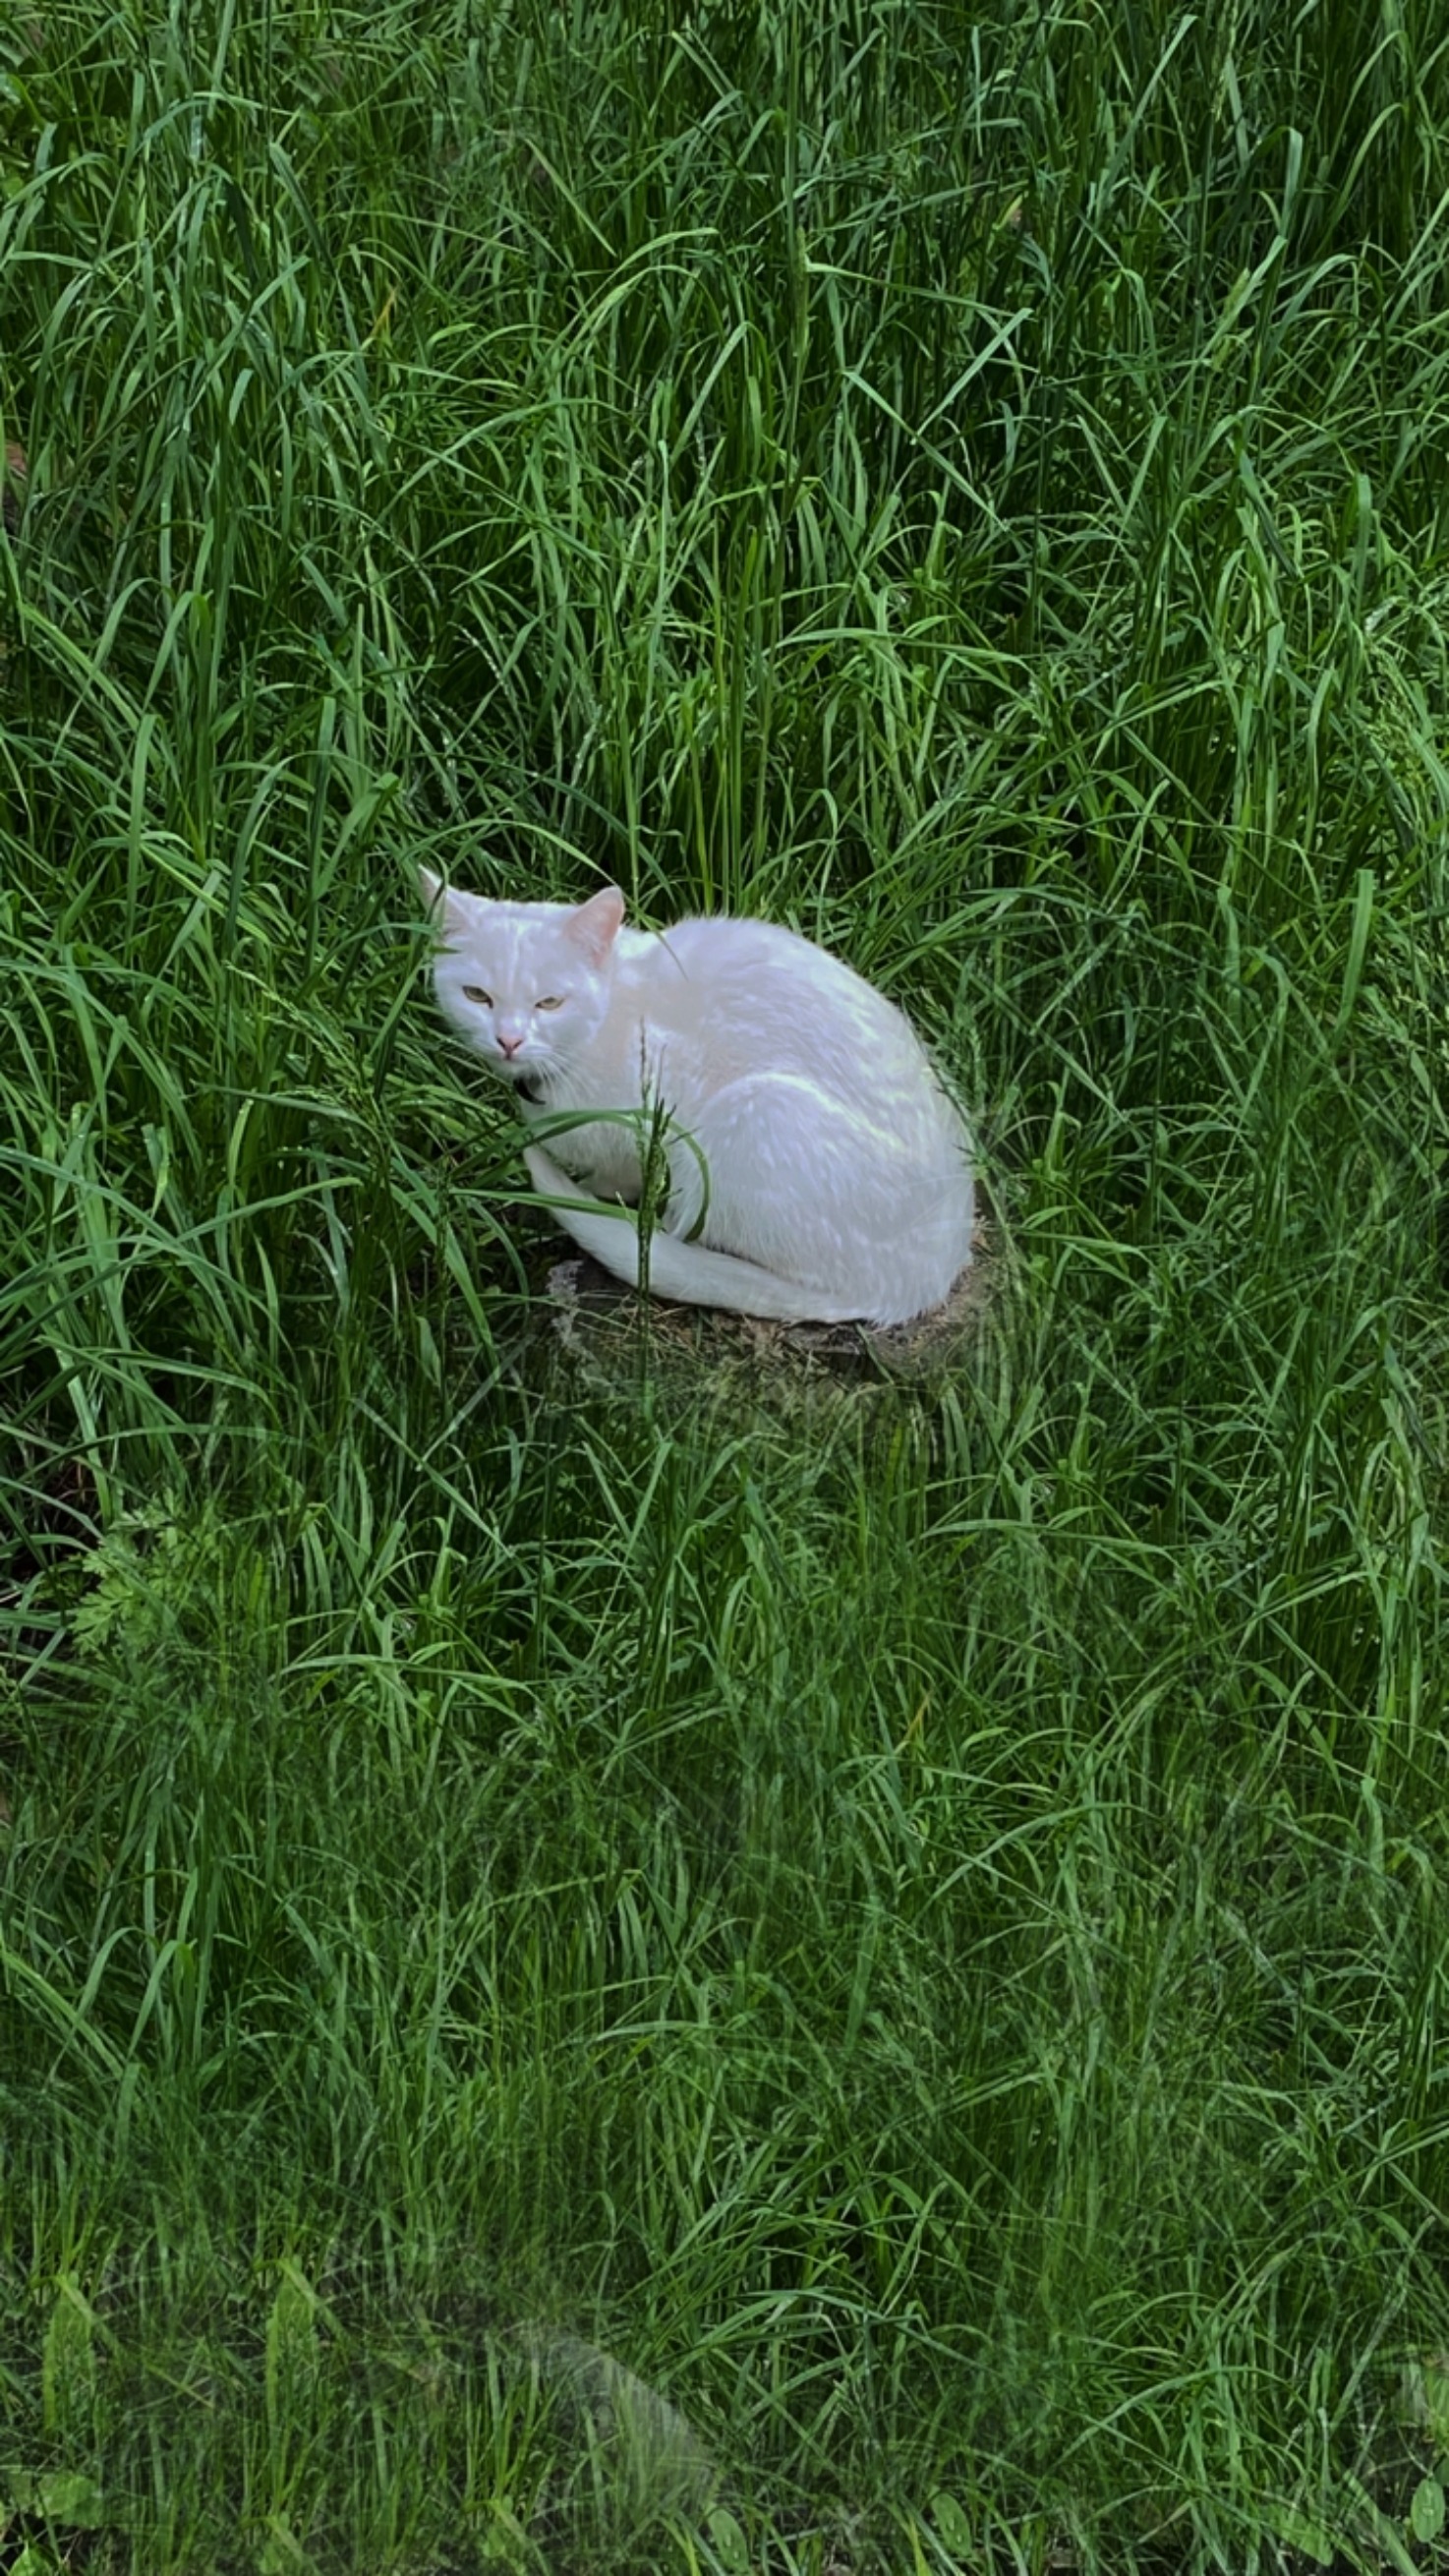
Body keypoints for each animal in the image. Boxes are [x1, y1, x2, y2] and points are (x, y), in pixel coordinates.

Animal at [419, 869, 974, 1326]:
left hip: (753, 1112)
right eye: (477, 996)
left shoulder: (664, 1089)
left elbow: (616, 1174)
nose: (508, 1040)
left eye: (549, 1002)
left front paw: (592, 1191)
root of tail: (920, 1284)